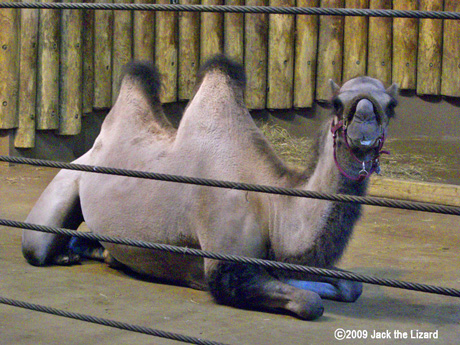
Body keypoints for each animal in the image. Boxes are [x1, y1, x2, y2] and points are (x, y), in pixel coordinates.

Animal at [21, 55, 398, 318]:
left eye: (390, 106)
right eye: (337, 104)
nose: (363, 124)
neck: (272, 207)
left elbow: (350, 287)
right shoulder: (225, 268)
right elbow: (311, 302)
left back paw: (100, 254)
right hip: (66, 182)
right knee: (36, 246)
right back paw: (67, 254)